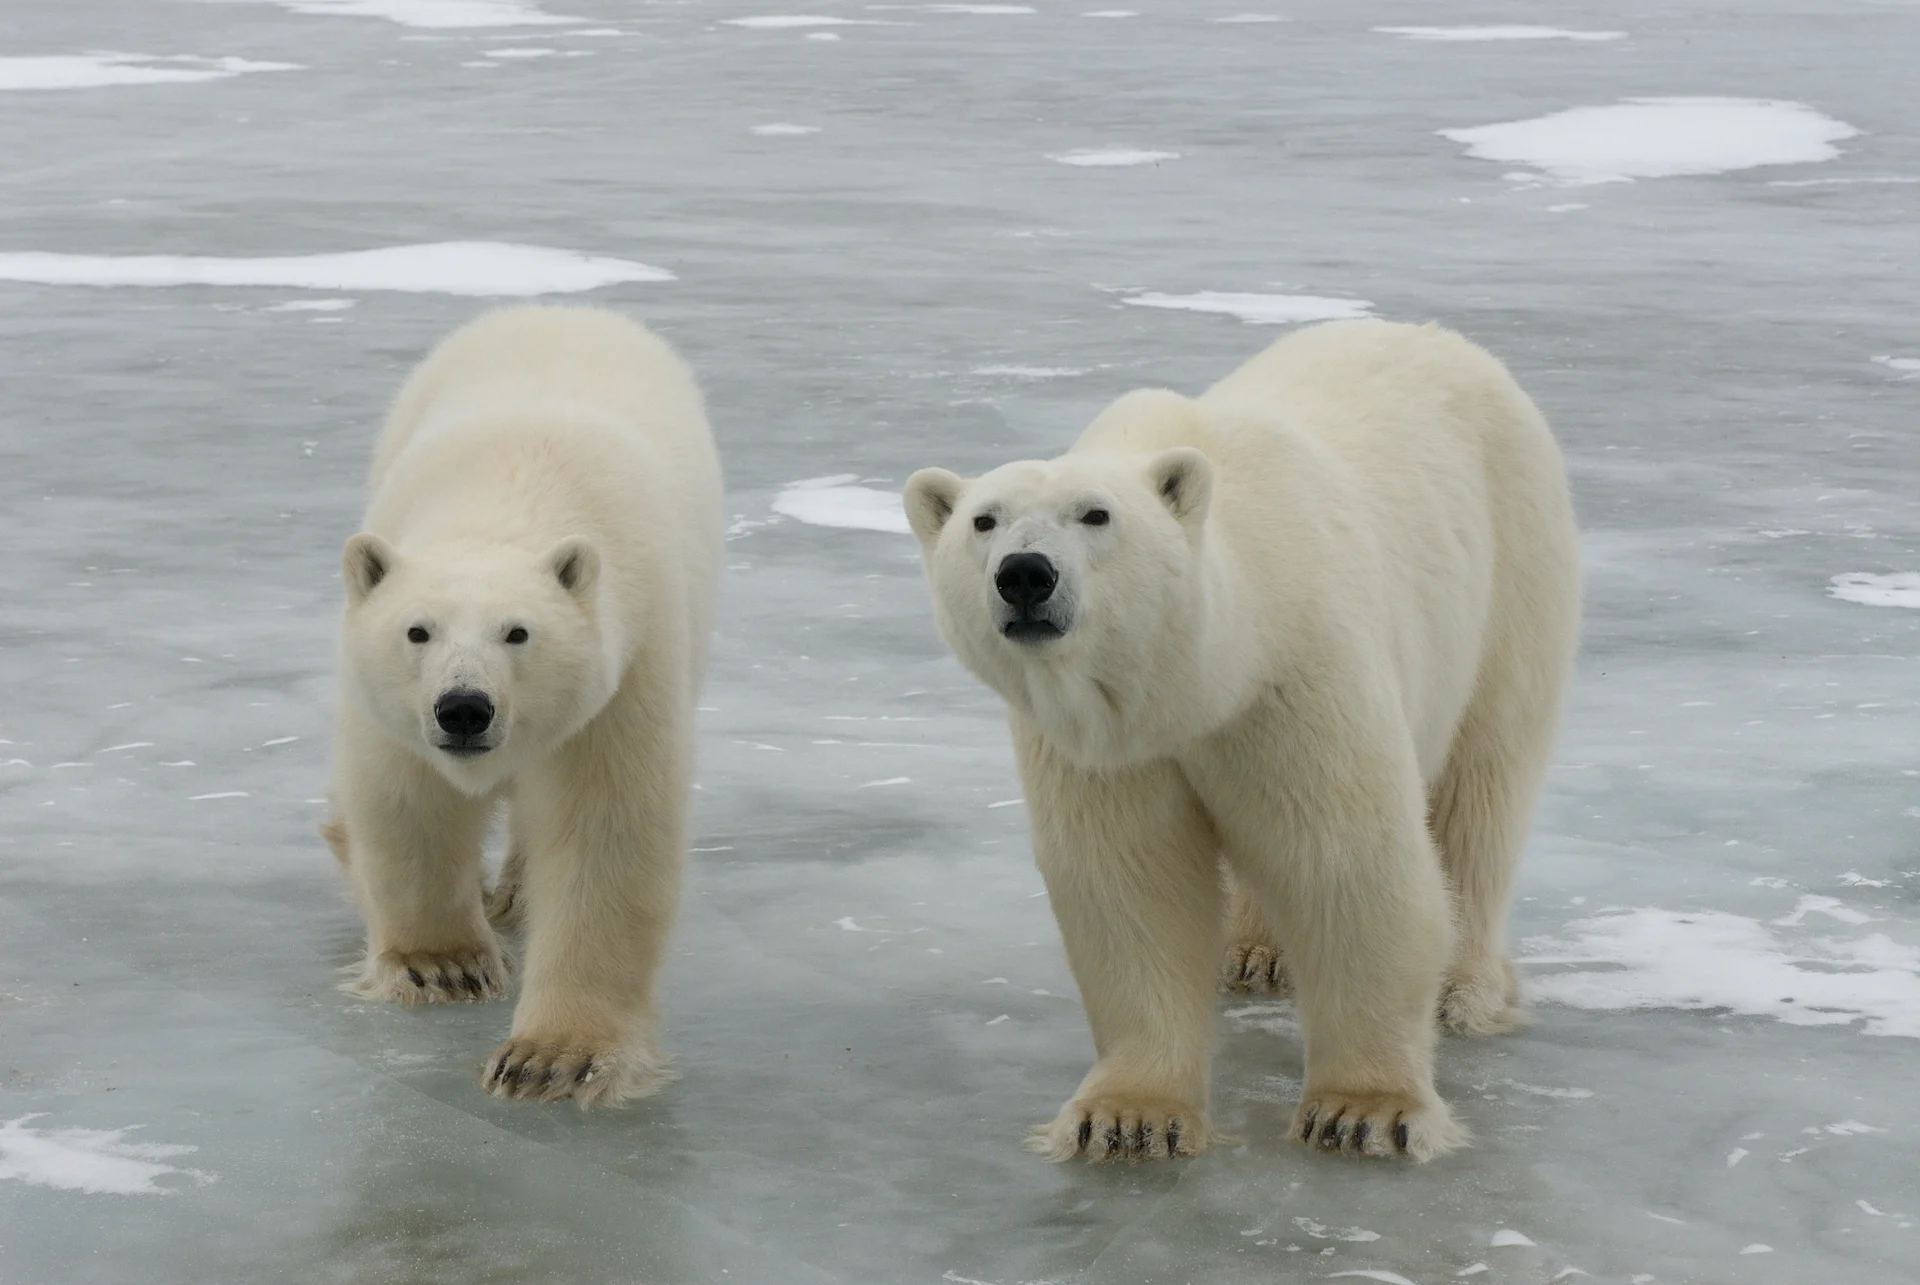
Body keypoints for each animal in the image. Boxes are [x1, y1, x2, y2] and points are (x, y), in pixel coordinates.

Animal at [326, 304, 723, 1107]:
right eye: (417, 629)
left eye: (518, 632)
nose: (464, 709)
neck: (512, 493)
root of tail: (563, 308)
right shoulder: (390, 709)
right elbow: (408, 801)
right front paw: (442, 966)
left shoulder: (625, 674)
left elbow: (605, 834)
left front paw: (554, 1057)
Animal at [904, 319, 1579, 1161]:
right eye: (983, 520)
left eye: (1096, 515)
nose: (1025, 574)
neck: (1205, 673)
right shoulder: (1108, 746)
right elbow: (1133, 882)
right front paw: (1126, 1117)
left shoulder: (1296, 670)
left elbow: (1346, 857)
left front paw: (1364, 1110)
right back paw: (1256, 951)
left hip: (1512, 571)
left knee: (1483, 786)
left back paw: (1462, 988)